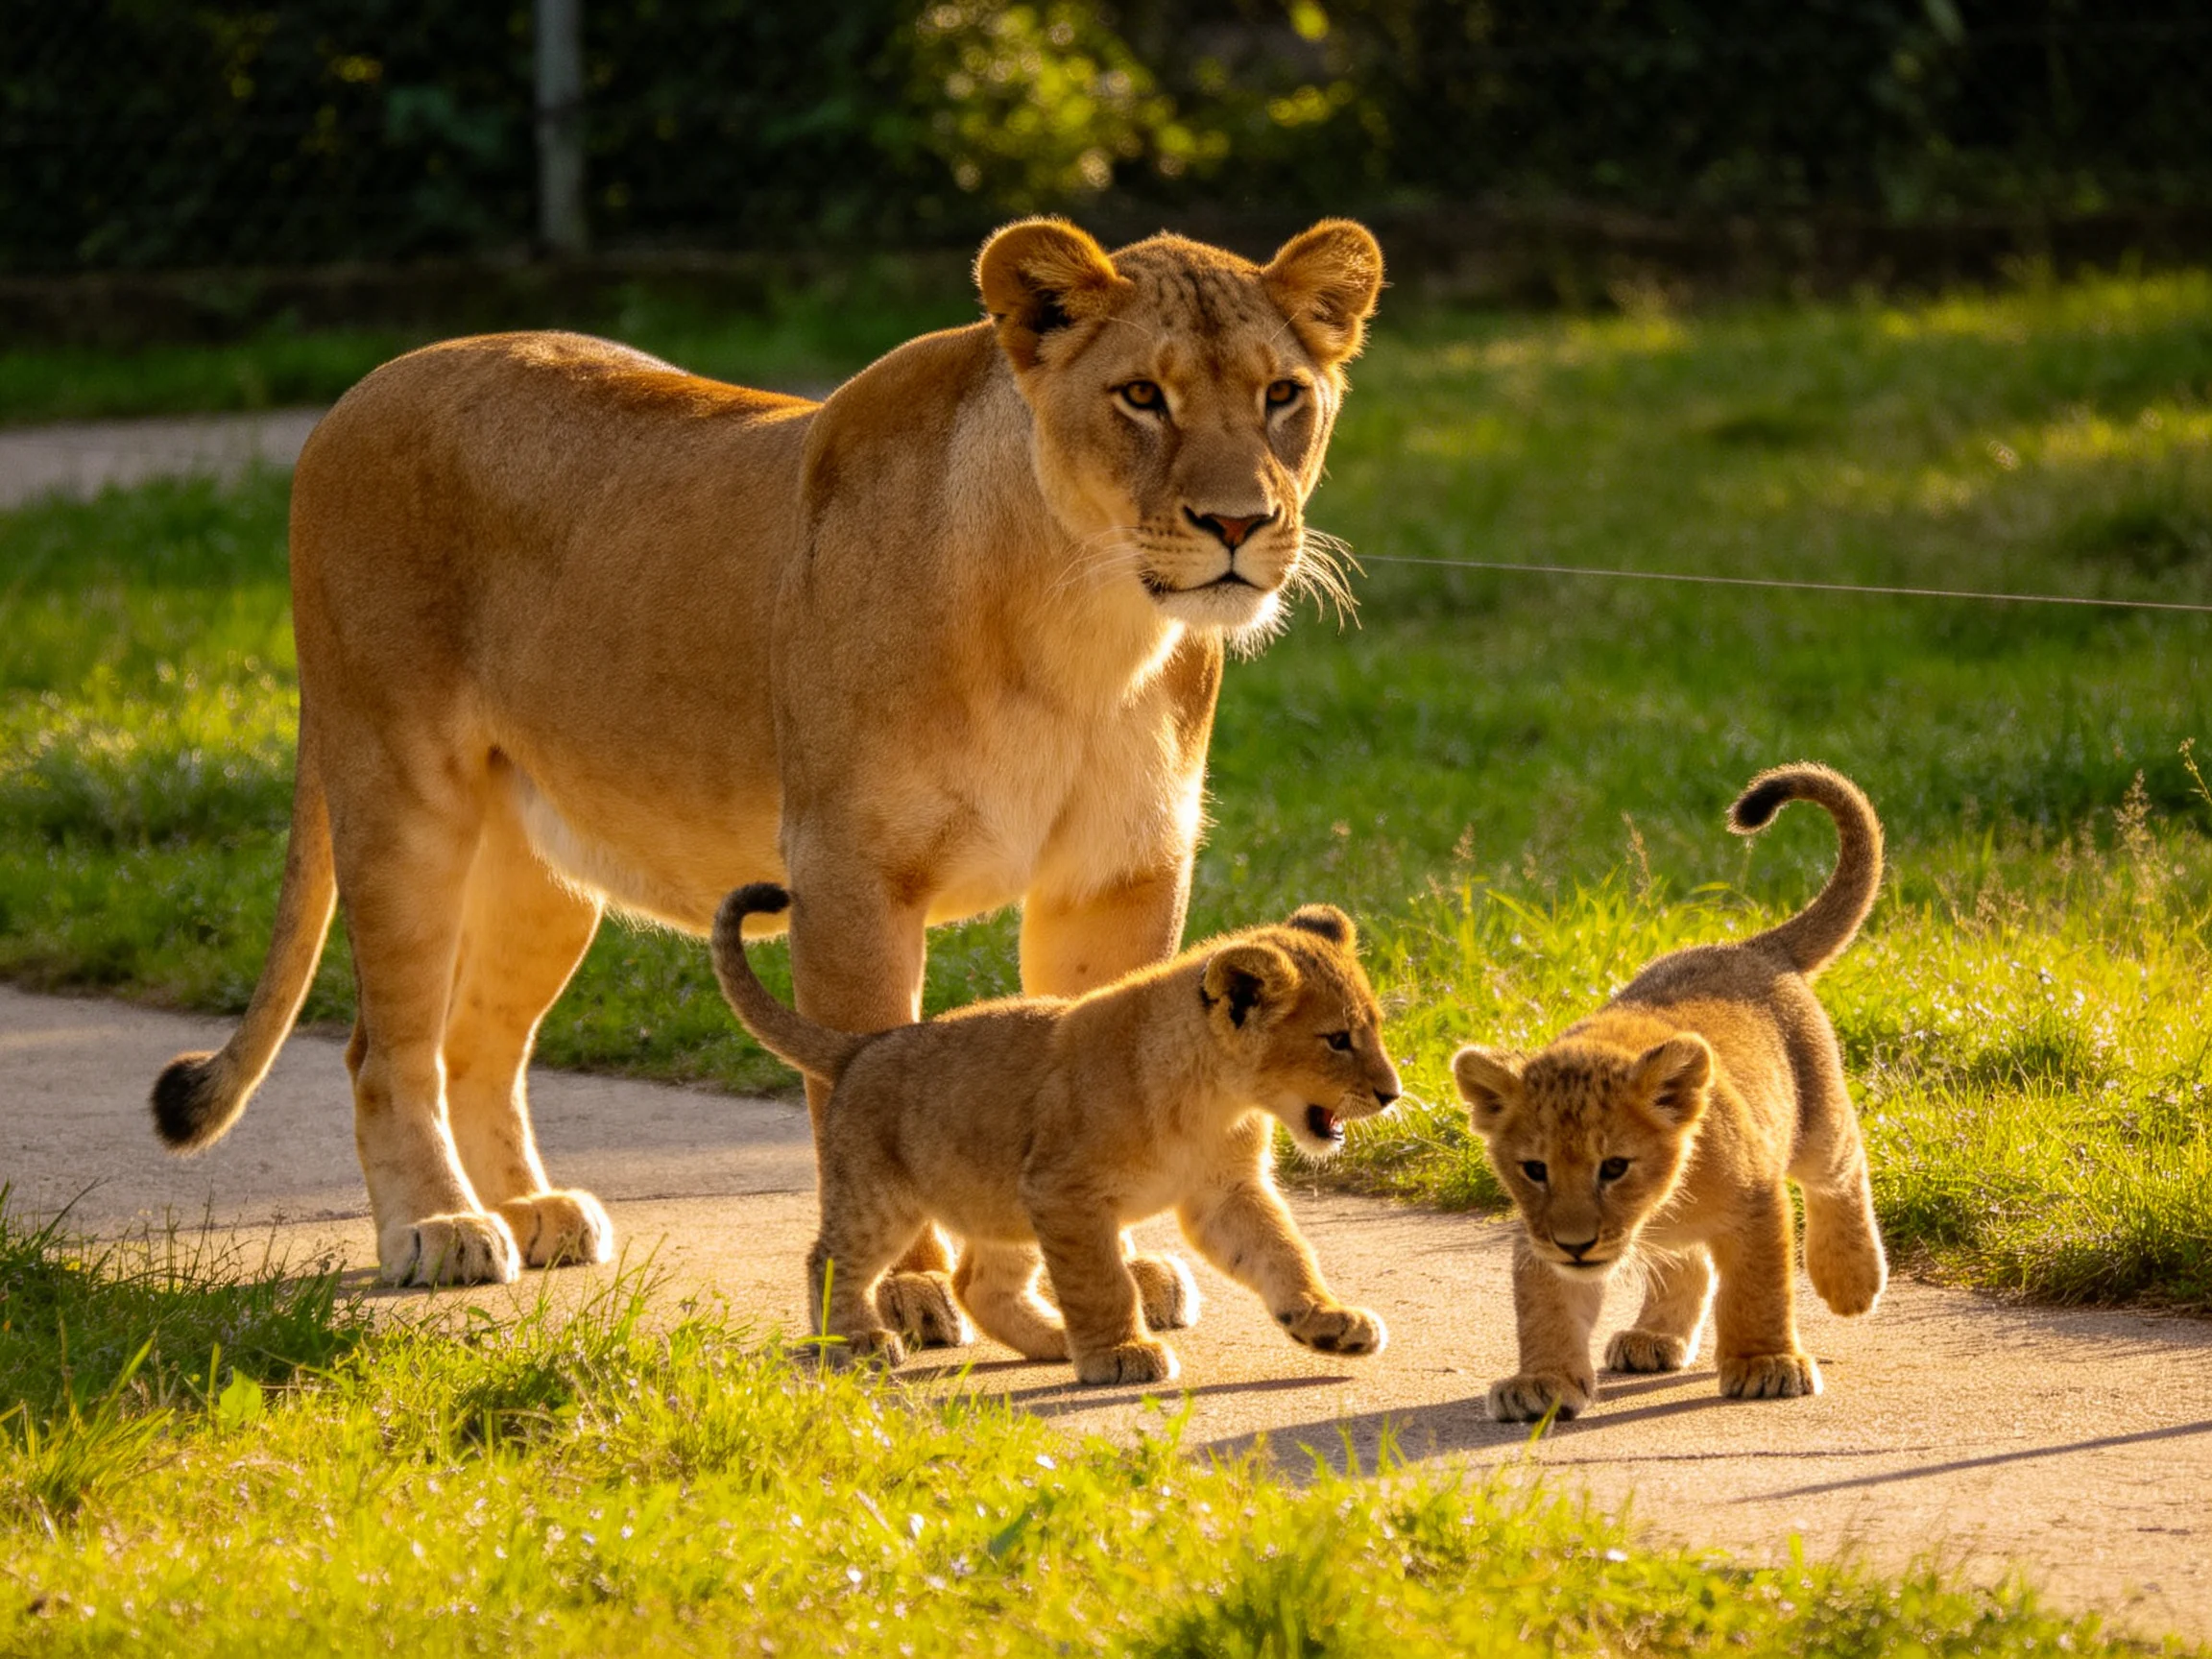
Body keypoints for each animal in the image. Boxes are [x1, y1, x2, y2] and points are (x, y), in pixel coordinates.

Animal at [146, 217, 1385, 1301]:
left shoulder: (1117, 874)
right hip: (401, 794)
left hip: (539, 862)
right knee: (384, 1045)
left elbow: (1099, 1060)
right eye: (1140, 396)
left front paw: (1109, 1268)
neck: (1086, 629)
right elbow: (863, 1080)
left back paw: (533, 1211)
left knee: (477, 1041)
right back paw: (440, 1227)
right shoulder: (849, 876)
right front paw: (912, 1291)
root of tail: (357, 393)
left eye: (1282, 395)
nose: (1237, 524)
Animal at [709, 883, 1400, 1383]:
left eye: (1372, 1029)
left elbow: (1282, 1254)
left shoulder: (1225, 1193)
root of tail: (861, 1046)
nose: (1393, 1093)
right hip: (884, 1200)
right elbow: (1101, 1282)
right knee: (832, 1259)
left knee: (977, 1285)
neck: (1218, 1102)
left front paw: (1328, 1322)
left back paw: (1053, 1339)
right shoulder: (1065, 1192)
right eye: (1338, 1039)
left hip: (1002, 1205)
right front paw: (1120, 1353)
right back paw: (857, 1342)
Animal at [1452, 764, 1889, 1422]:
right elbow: (1546, 1308)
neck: (1656, 1206)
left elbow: (1758, 1290)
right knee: (1687, 1262)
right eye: (1534, 1170)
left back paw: (1851, 1280)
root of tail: (1749, 946)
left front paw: (1765, 1364)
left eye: (1614, 1167)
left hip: (1817, 1118)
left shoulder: (1755, 1203)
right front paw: (1542, 1382)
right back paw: (1653, 1337)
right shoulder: (1539, 1236)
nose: (1577, 1245)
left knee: (1840, 1170)